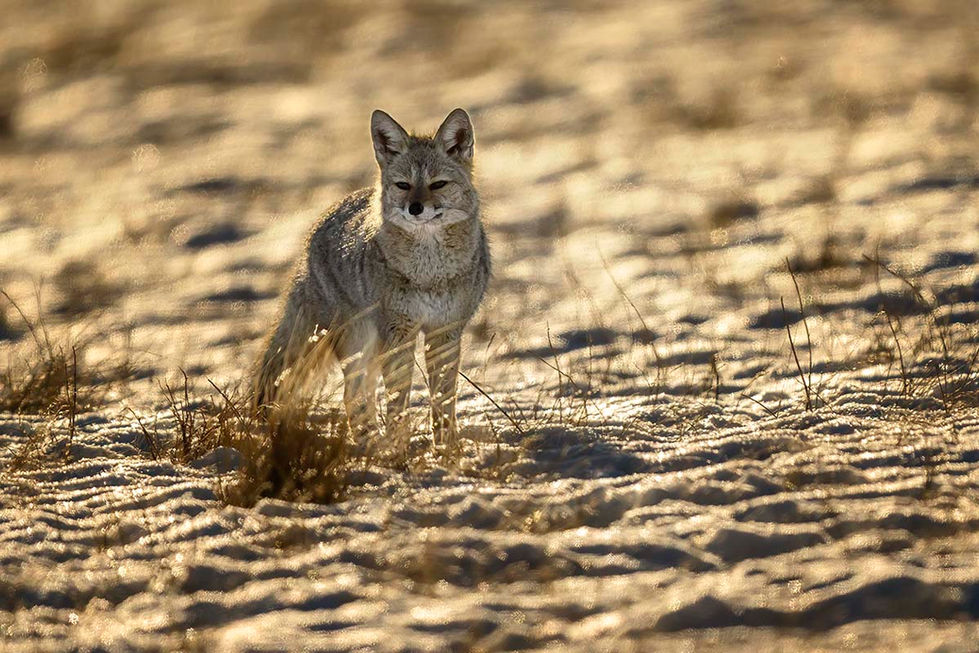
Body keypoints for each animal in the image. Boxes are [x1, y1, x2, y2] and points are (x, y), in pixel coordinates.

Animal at [253, 108, 490, 451]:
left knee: (359, 393)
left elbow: (444, 400)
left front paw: (447, 450)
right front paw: (400, 449)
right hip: (360, 340)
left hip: (374, 346)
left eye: (438, 184)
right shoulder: (400, 330)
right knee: (351, 395)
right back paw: (372, 445)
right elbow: (398, 400)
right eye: (404, 185)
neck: (429, 272)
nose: (415, 208)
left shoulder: (445, 331)